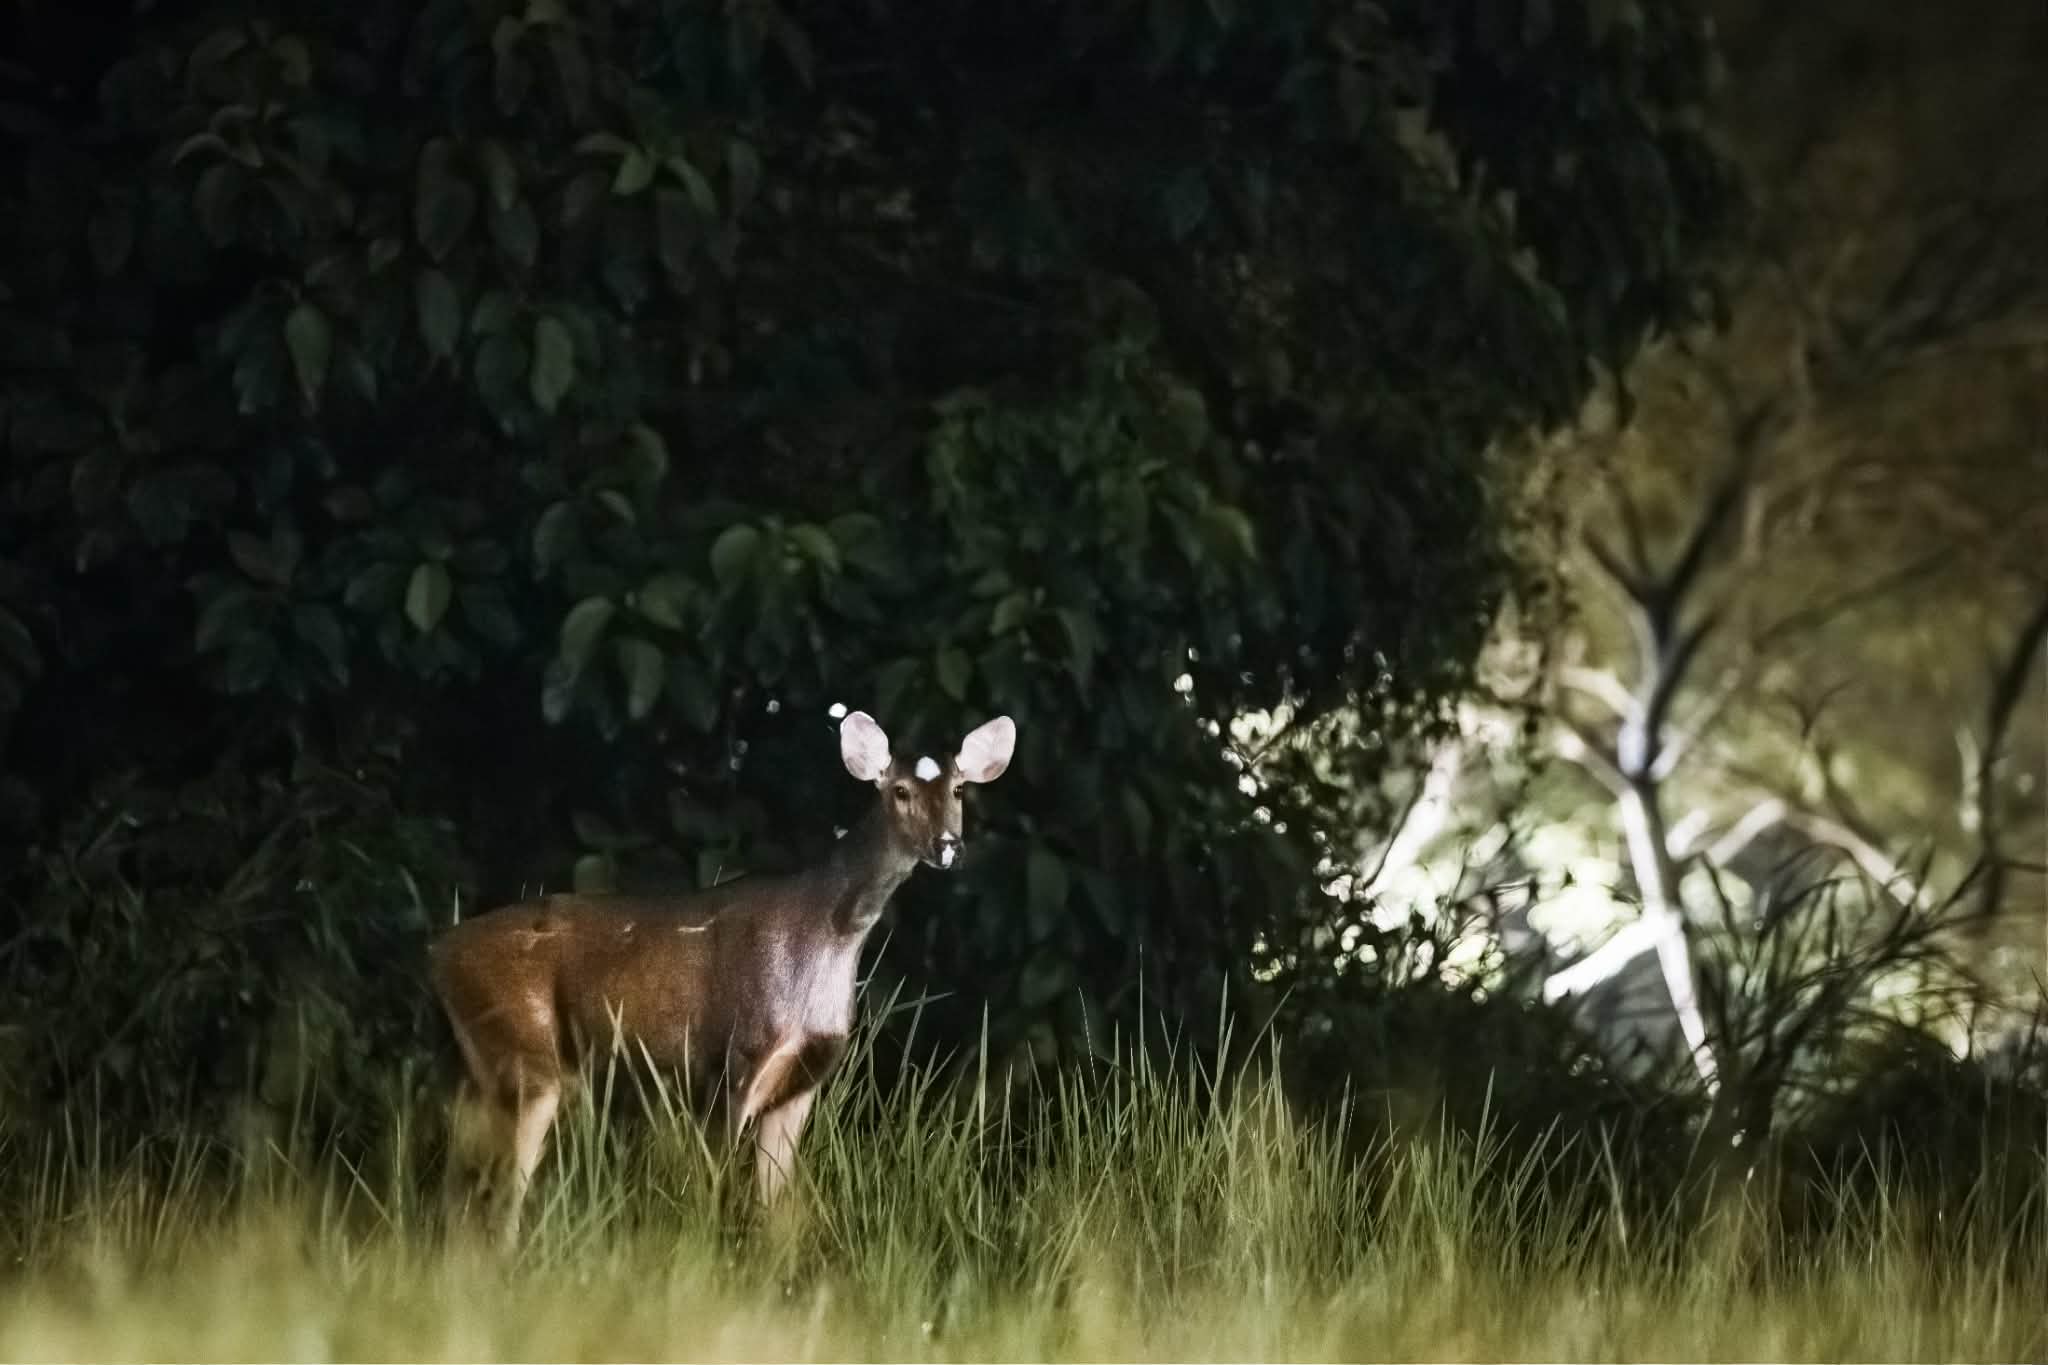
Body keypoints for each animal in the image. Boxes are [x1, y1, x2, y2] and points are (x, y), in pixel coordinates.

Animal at [429, 709, 1016, 1247]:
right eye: (899, 791)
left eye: (959, 788)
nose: (948, 845)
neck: (823, 936)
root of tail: (437, 952)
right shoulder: (732, 1058)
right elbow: (714, 1189)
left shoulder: (803, 1080)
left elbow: (774, 1210)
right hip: (525, 1052)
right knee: (502, 1193)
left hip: (490, 1065)